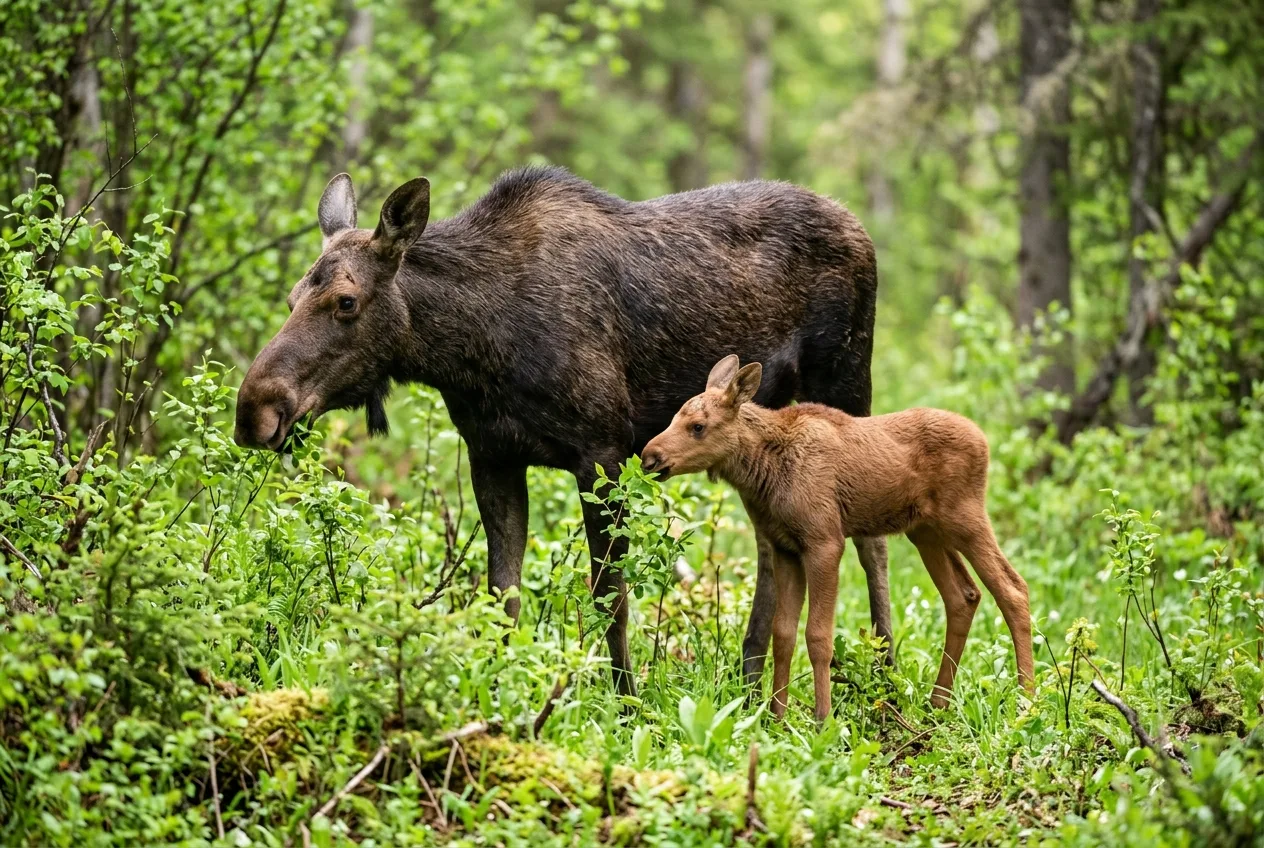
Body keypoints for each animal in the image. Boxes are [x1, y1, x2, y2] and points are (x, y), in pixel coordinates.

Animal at [640, 355, 1035, 722]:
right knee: (963, 596)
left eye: (698, 426)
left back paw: (1027, 699)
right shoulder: (785, 547)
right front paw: (777, 715)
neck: (762, 473)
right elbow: (783, 634)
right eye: (675, 417)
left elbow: (818, 636)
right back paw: (939, 701)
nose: (649, 457)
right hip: (925, 531)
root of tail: (984, 441)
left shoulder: (825, 541)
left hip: (965, 517)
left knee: (1013, 589)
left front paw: (822, 717)